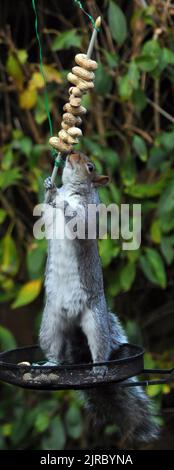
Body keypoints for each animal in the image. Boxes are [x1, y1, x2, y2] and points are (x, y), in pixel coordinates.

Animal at [39, 153, 159, 448]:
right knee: (56, 350)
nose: (70, 155)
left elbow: (80, 222)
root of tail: (73, 322)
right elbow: (46, 214)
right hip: (51, 324)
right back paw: (51, 364)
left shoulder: (90, 212)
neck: (72, 190)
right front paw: (49, 187)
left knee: (100, 348)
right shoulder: (49, 218)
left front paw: (62, 202)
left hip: (94, 321)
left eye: (90, 166)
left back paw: (100, 369)